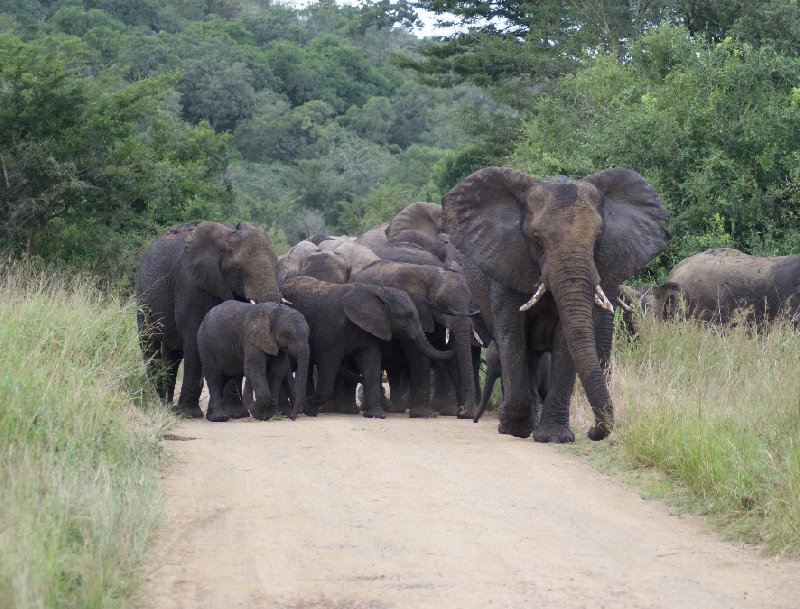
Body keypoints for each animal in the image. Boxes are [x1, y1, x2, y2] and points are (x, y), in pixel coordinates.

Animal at [139, 222, 282, 418]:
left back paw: (167, 407)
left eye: (276, 266)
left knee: (171, 354)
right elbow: (193, 339)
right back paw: (161, 405)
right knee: (149, 345)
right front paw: (189, 414)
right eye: (237, 271)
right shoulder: (190, 286)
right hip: (143, 297)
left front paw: (237, 414)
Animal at [444, 166, 668, 442]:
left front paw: (554, 437)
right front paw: (513, 429)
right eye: (536, 238)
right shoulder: (507, 264)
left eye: (598, 238)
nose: (592, 430)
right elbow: (512, 336)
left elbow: (566, 341)